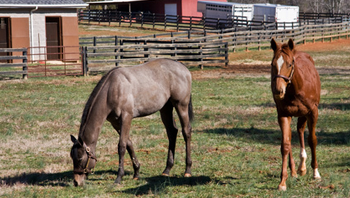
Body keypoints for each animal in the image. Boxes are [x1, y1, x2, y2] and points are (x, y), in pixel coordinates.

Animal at [69, 58, 193, 186]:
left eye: (80, 158)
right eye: (71, 157)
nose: (76, 182)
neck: (112, 88)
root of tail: (182, 66)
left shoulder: (126, 117)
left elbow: (122, 146)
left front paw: (119, 177)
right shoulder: (115, 122)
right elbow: (129, 144)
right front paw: (136, 172)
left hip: (181, 105)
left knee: (186, 132)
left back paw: (187, 170)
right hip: (166, 108)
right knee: (172, 132)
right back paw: (167, 169)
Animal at [270, 38, 322, 191]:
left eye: (289, 64)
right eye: (272, 64)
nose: (278, 90)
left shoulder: (313, 113)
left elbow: (312, 140)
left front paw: (316, 173)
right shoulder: (283, 115)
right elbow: (285, 145)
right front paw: (283, 182)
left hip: (304, 114)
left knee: (300, 130)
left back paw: (302, 167)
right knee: (293, 134)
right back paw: (295, 170)